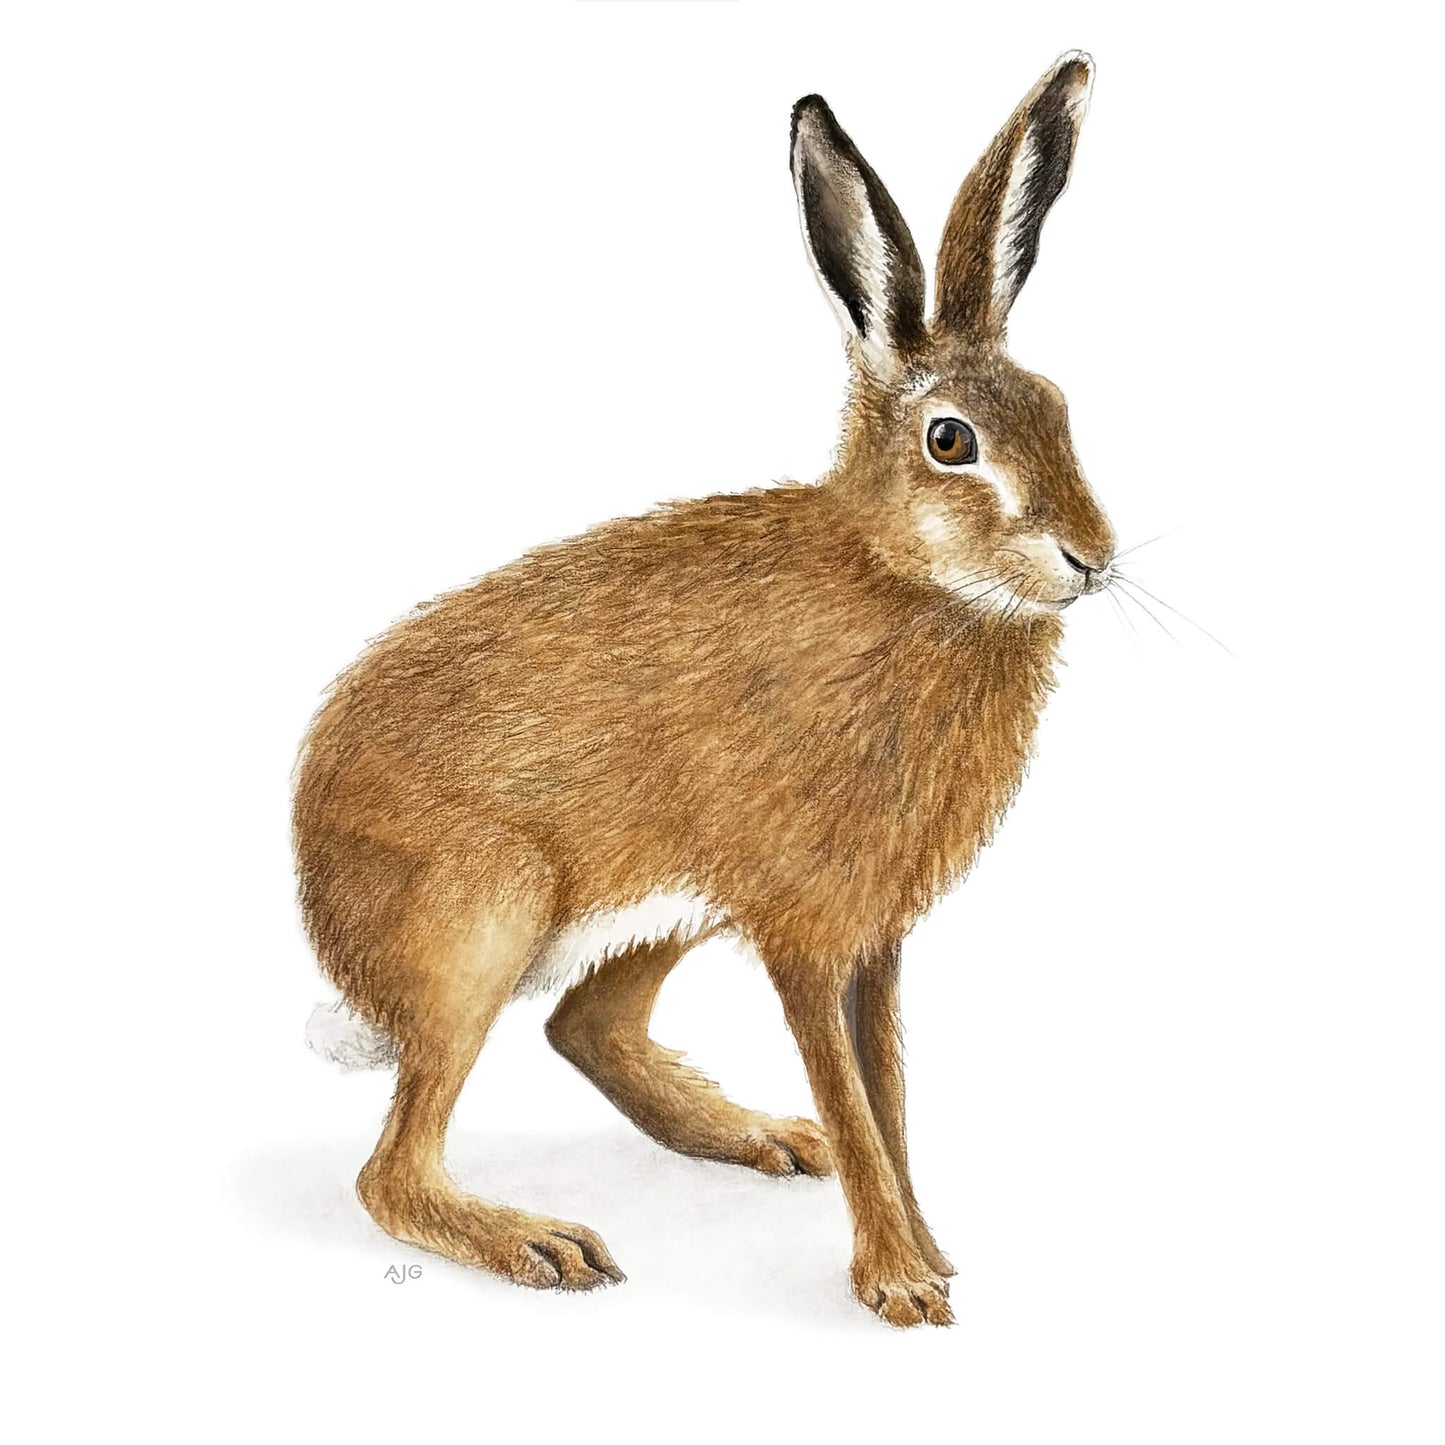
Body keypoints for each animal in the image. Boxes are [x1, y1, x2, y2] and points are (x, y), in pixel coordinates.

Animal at [292, 51, 1115, 1329]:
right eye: (950, 440)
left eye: (1061, 410)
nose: (1091, 558)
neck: (903, 579)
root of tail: (322, 905)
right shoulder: (805, 927)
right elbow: (852, 1091)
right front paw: (898, 1285)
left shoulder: (872, 937)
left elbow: (886, 1091)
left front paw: (930, 1252)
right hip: (483, 911)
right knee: (394, 1167)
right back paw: (539, 1242)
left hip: (664, 900)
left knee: (584, 1023)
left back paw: (760, 1136)